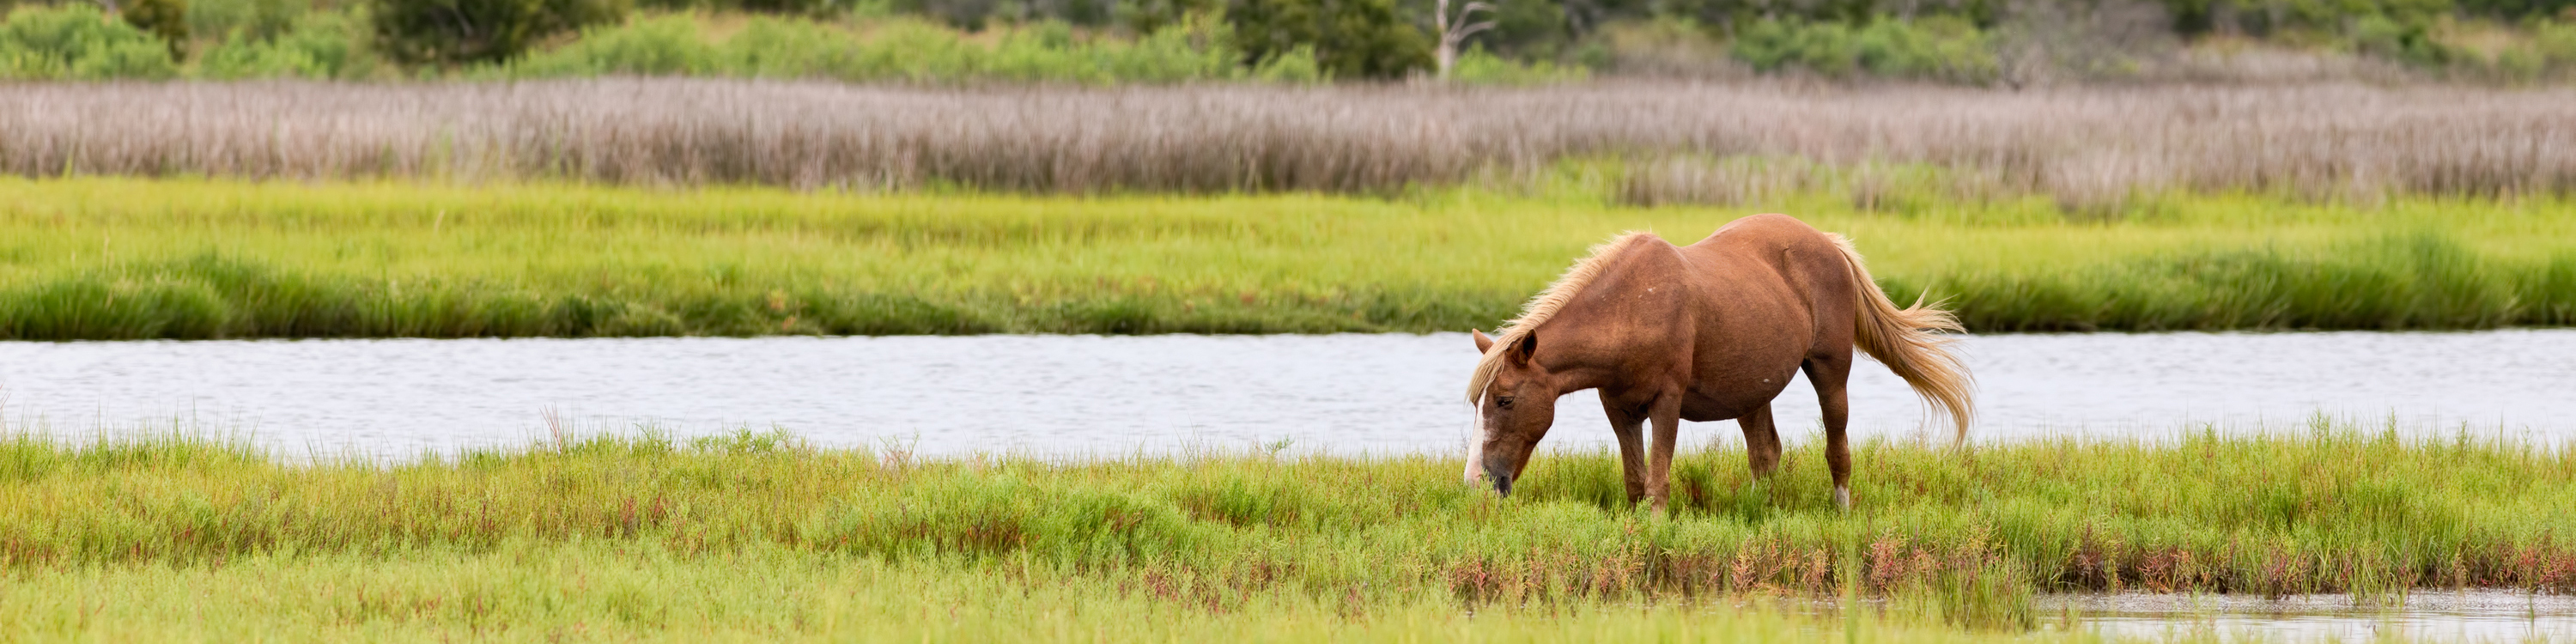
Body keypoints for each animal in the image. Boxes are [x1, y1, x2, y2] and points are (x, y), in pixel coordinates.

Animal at [1462, 214, 1974, 511]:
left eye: (1504, 400)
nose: (1477, 482)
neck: (1630, 308)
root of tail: (1830, 244)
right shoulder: (1619, 408)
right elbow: (1634, 480)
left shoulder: (1666, 403)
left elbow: (1659, 479)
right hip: (1752, 392)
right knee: (1766, 453)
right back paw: (1756, 512)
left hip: (1831, 371)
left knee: (1837, 448)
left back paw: (1841, 512)